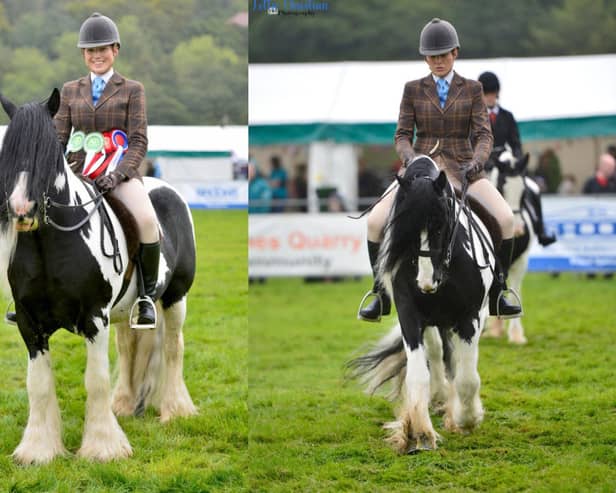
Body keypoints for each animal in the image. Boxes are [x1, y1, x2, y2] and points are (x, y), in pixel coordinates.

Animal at [0, 90, 196, 464]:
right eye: (8, 149)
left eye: (49, 151)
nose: (21, 209)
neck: (51, 244)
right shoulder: (30, 324)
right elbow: (39, 385)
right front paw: (39, 450)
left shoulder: (94, 318)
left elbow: (96, 380)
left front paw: (103, 447)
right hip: (125, 312)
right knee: (129, 347)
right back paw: (125, 404)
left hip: (175, 297)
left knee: (172, 346)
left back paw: (176, 410)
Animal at [352, 156, 496, 452]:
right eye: (405, 229)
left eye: (441, 224)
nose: (427, 282)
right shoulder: (410, 315)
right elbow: (419, 372)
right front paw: (420, 433)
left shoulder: (470, 316)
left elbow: (467, 378)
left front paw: (466, 419)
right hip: (432, 322)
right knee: (437, 352)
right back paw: (439, 397)